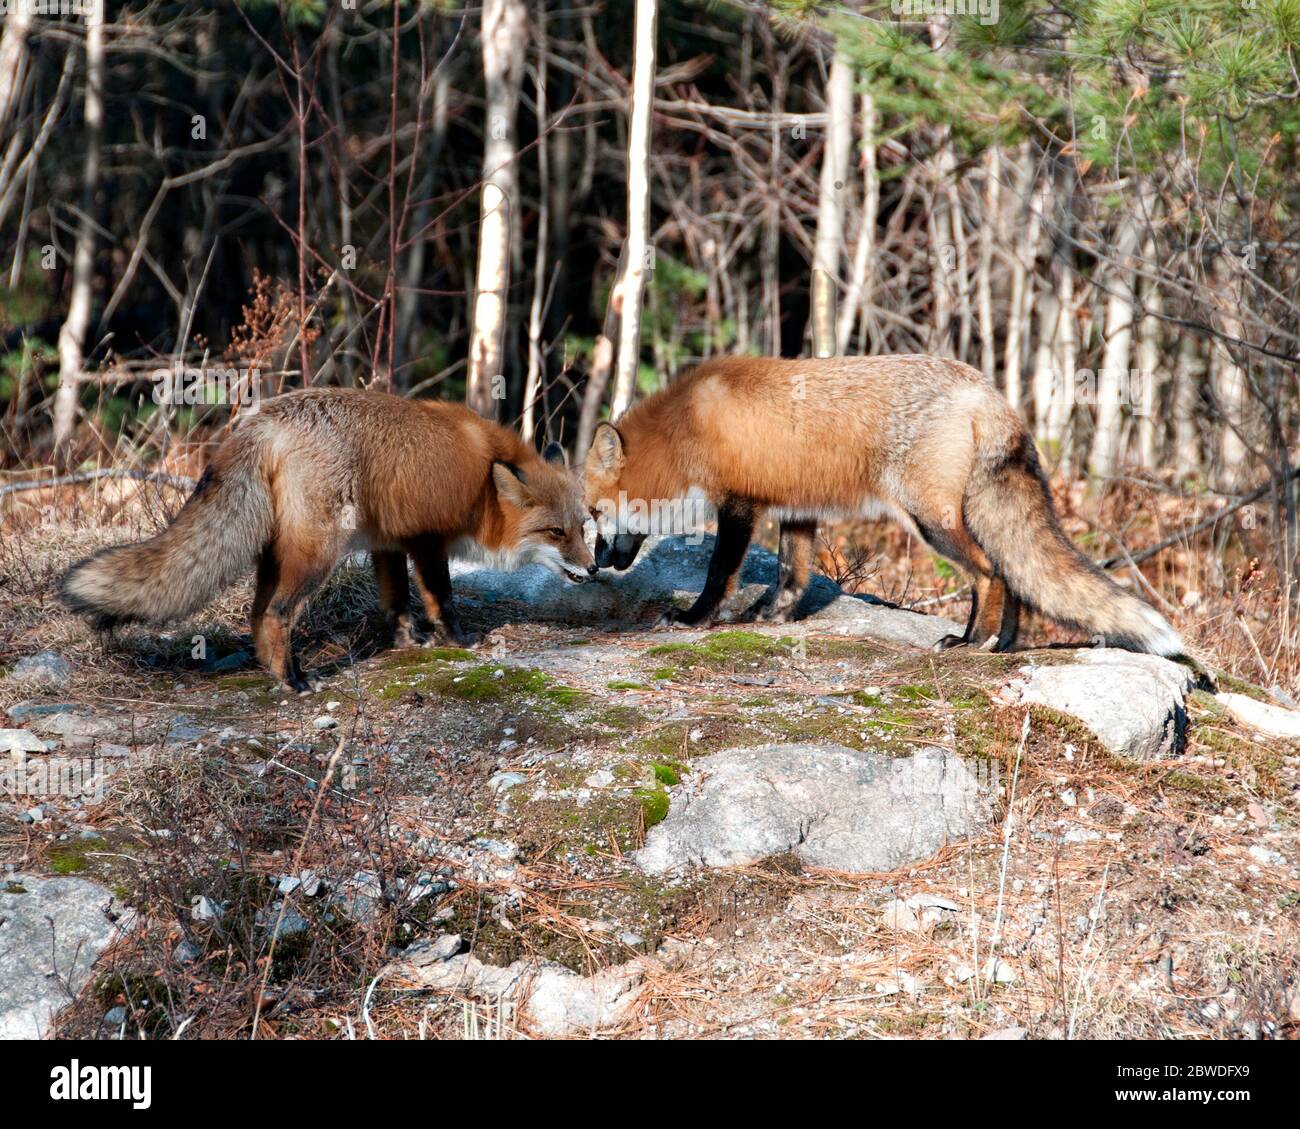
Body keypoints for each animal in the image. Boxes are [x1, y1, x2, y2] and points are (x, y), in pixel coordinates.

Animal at [62, 388, 596, 692]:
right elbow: (441, 598)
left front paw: (408, 641)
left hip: (278, 553)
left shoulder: (388, 542)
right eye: (556, 532)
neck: (482, 482)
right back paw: (295, 681)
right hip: (319, 553)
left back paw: (272, 671)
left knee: (256, 612)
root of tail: (261, 421)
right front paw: (458, 640)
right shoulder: (428, 540)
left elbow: (396, 602)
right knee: (277, 613)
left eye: (584, 525)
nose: (593, 568)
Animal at [582, 354, 1184, 657]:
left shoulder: (739, 504)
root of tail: (987, 391)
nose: (595, 566)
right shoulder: (798, 508)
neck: (686, 428)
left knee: (990, 573)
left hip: (930, 520)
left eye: (593, 513)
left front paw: (694, 618)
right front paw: (771, 618)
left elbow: (717, 573)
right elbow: (792, 577)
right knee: (1014, 578)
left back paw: (971, 641)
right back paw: (1004, 644)